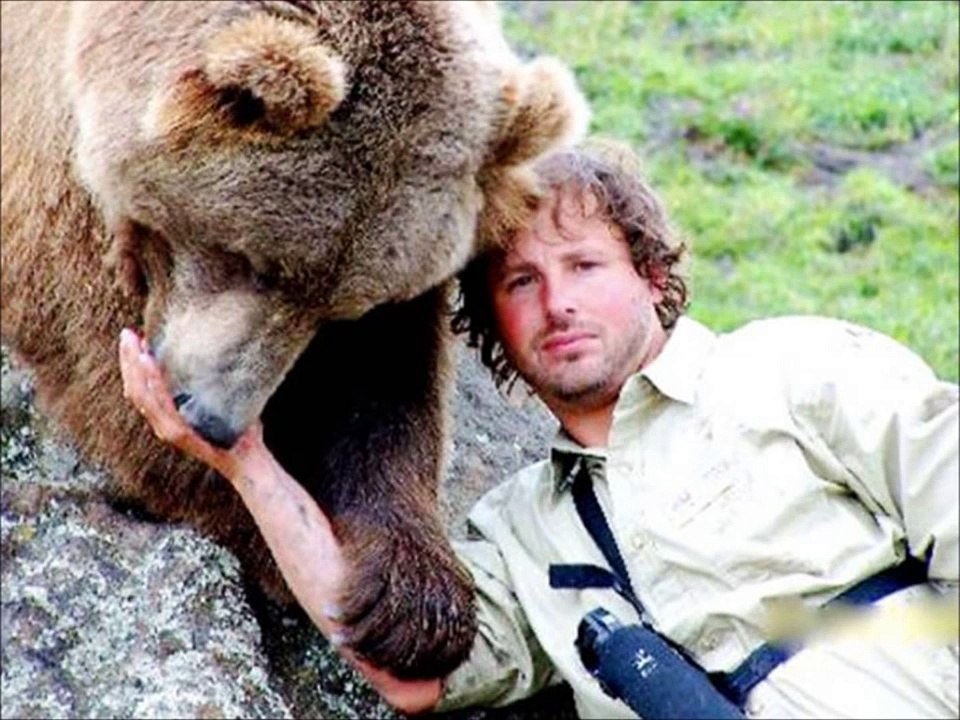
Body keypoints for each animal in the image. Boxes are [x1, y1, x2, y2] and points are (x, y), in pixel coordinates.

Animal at [0, 0, 588, 679]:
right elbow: (101, 360)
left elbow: (391, 380)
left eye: (344, 311)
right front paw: (276, 544)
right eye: (254, 260)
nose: (213, 420)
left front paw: (412, 597)